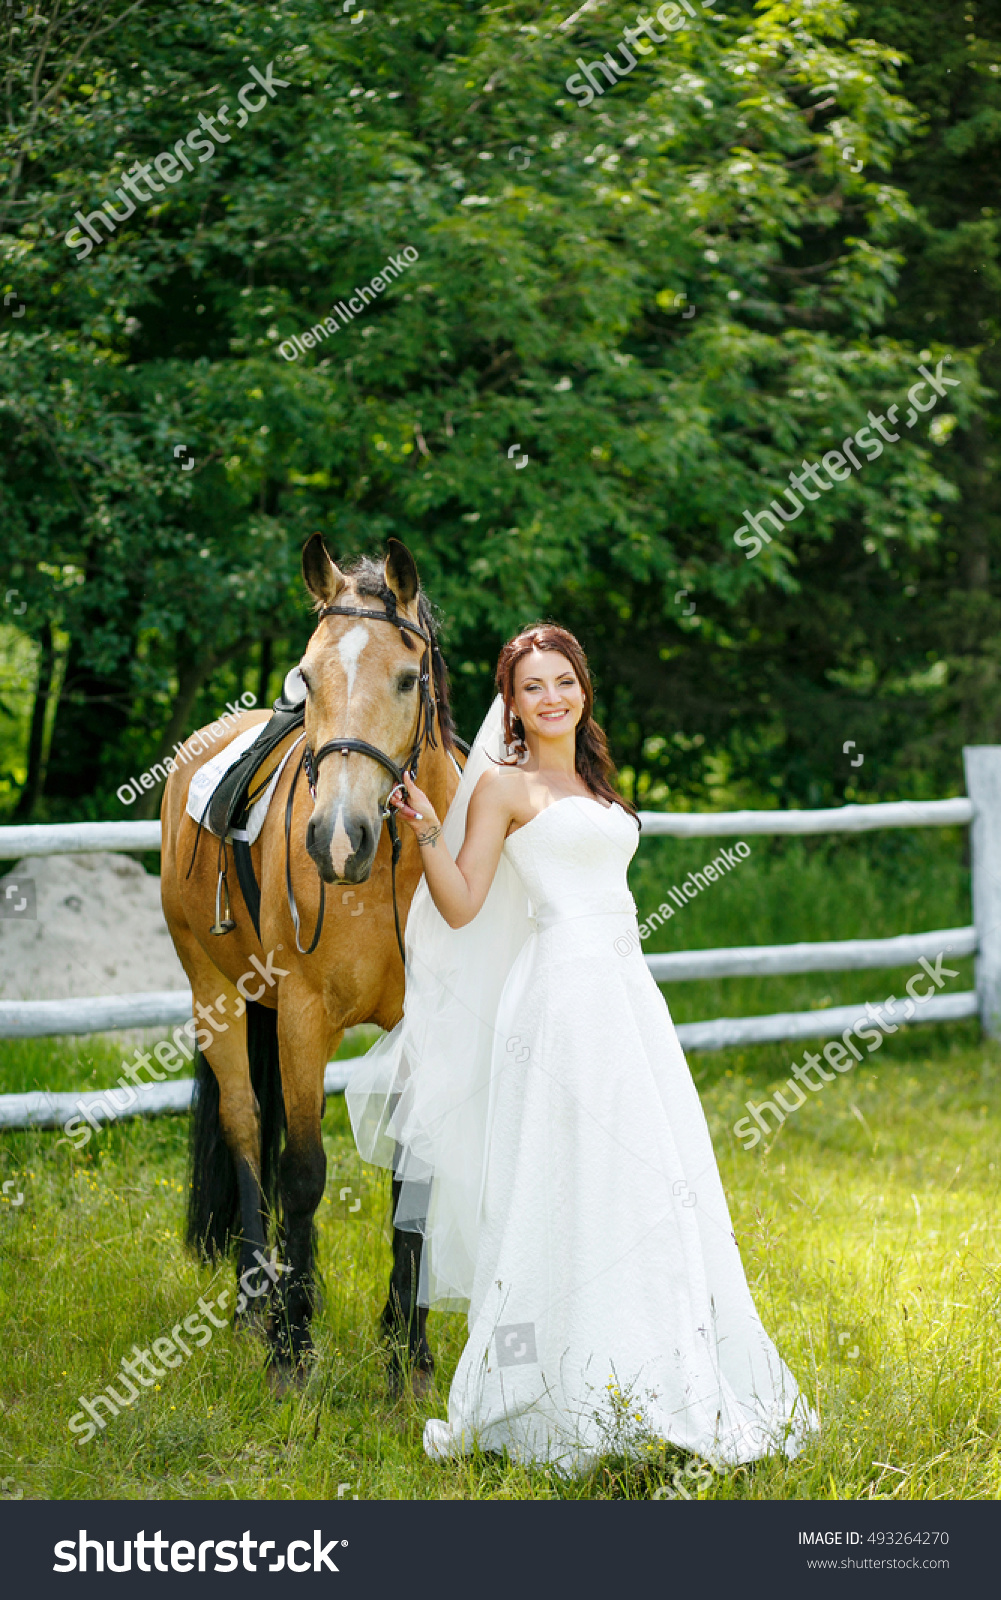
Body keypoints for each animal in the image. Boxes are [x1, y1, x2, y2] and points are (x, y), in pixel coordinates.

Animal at [160, 540, 463, 1388]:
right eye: (308, 675)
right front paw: (291, 1350)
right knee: (242, 1124)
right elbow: (301, 1171)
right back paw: (256, 1302)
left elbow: (414, 1176)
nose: (337, 839)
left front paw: (407, 1350)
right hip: (213, 992)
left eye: (407, 677)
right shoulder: (300, 1019)